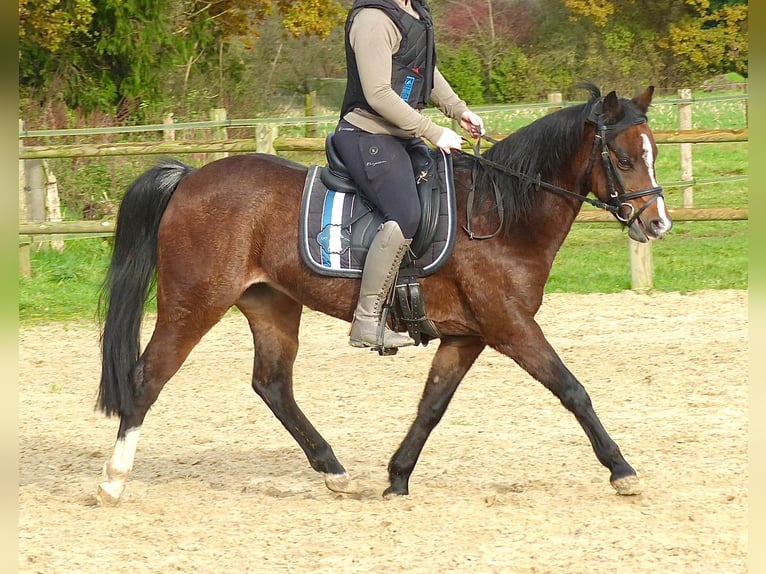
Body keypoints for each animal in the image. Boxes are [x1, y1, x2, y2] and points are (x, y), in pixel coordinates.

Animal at [94, 83, 672, 506]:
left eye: (652, 153)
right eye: (623, 159)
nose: (658, 223)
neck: (501, 214)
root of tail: (190, 177)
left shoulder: (467, 336)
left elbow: (431, 406)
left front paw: (397, 476)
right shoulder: (510, 326)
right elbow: (573, 389)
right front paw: (621, 469)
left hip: (271, 303)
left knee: (272, 385)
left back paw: (334, 471)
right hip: (193, 303)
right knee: (147, 377)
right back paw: (114, 480)